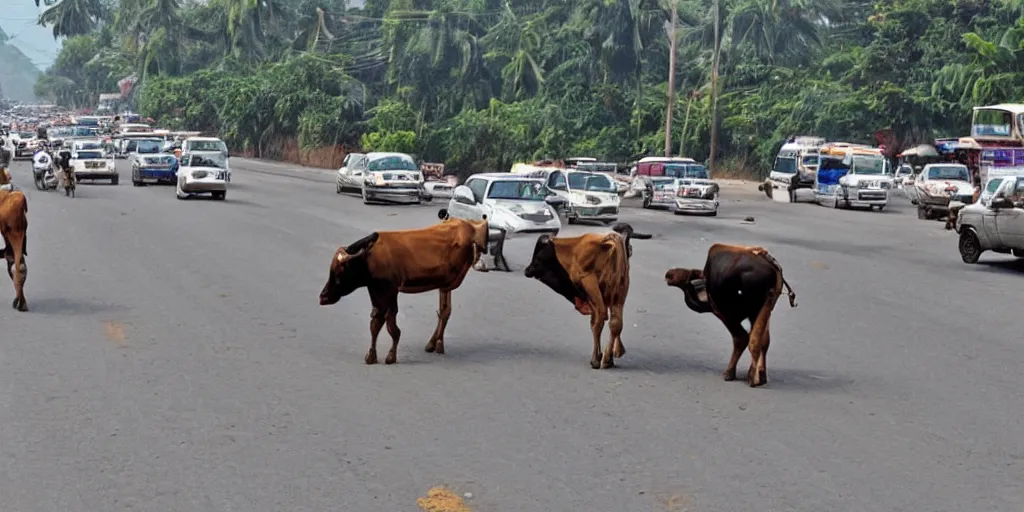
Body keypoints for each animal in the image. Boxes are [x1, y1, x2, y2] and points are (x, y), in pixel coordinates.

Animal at [319, 216, 491, 364]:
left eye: (339, 273)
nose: (323, 297)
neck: (369, 258)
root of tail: (469, 225)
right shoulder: (376, 292)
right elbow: (376, 324)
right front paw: (372, 356)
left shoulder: (389, 292)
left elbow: (390, 327)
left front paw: (390, 356)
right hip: (444, 285)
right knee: (445, 311)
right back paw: (435, 344)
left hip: (447, 283)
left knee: (444, 312)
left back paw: (436, 343)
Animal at [524, 223, 651, 368]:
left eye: (538, 255)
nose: (527, 270)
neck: (570, 251)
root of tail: (608, 240)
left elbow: (594, 321)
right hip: (620, 292)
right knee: (616, 322)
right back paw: (608, 358)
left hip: (591, 284)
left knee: (600, 318)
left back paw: (597, 359)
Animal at [663, 244, 798, 387]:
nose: (669, 274)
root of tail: (774, 269)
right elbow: (762, 341)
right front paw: (758, 374)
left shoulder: (726, 314)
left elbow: (741, 338)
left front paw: (730, 373)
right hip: (767, 306)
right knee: (762, 340)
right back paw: (759, 375)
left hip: (750, 310)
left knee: (752, 341)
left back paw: (753, 378)